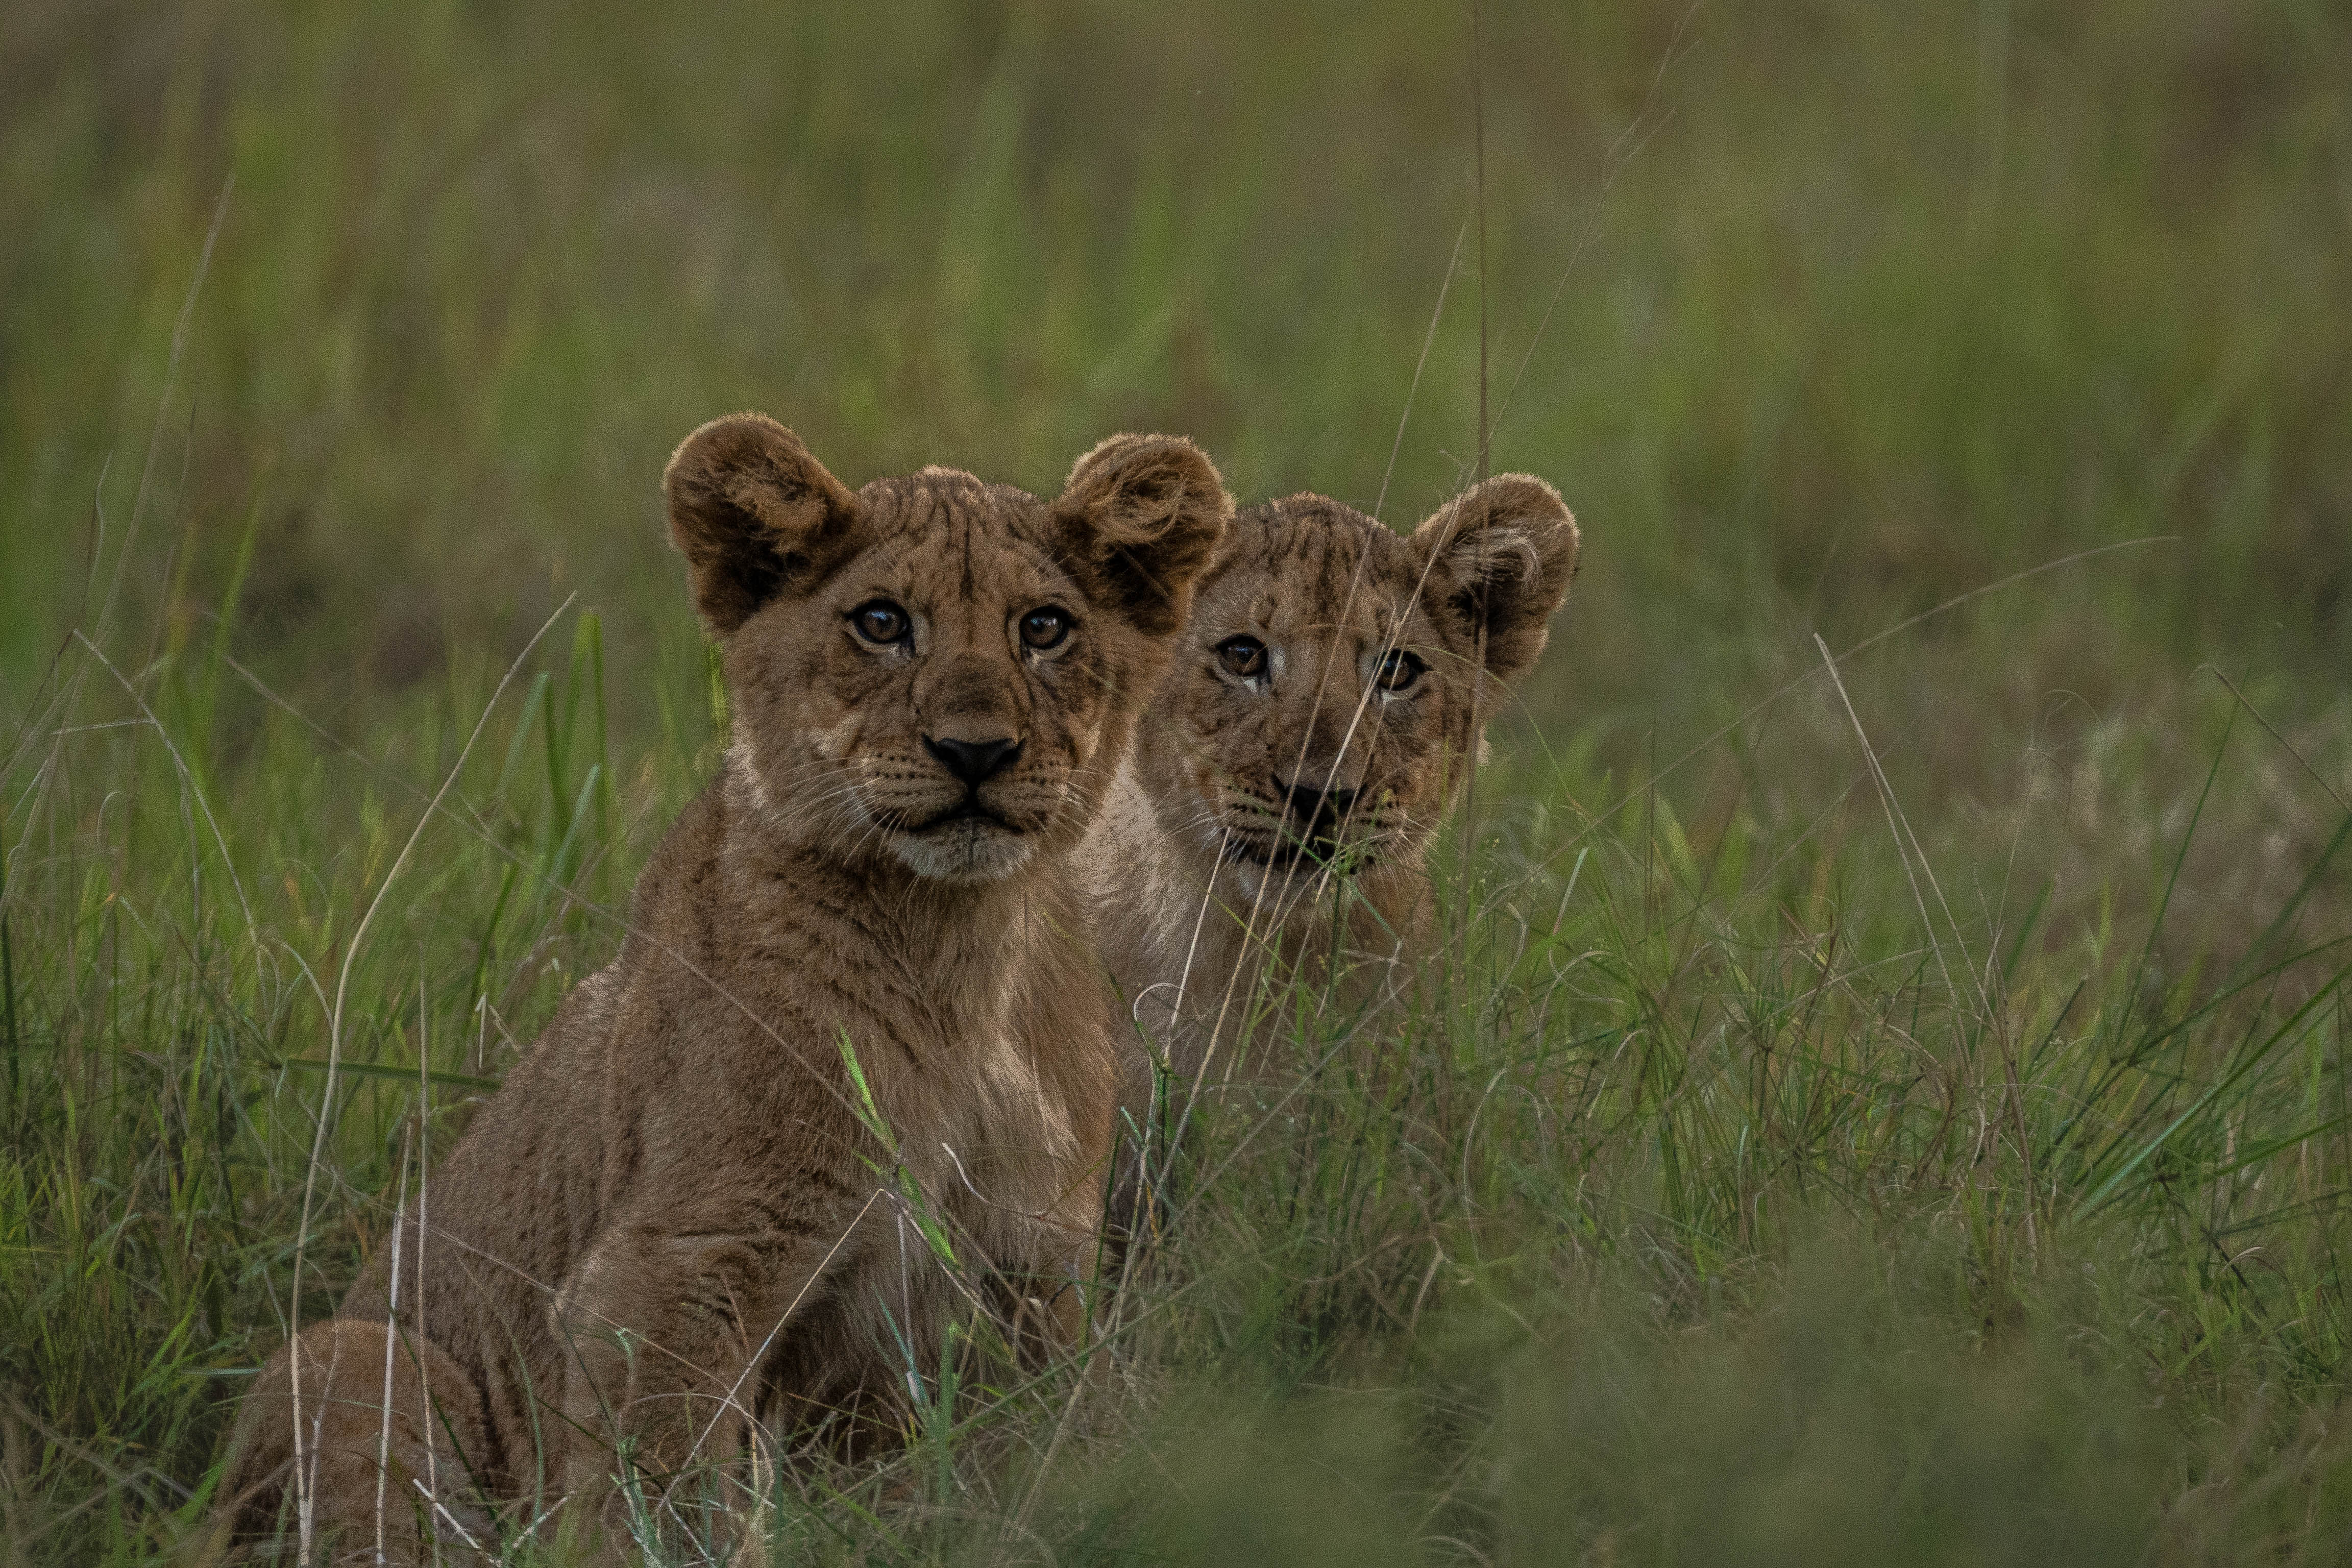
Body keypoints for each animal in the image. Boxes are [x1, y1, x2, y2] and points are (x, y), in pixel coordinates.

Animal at [219, 414, 1231, 1560]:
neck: (955, 951)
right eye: (882, 622)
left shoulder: (1036, 1263)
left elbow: (1041, 1451)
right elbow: (659, 1491)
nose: (976, 751)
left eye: (1045, 628)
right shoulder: (677, 1262)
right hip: (344, 1357)